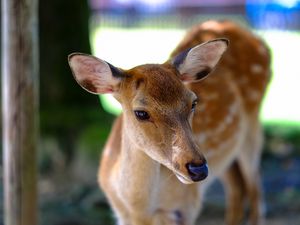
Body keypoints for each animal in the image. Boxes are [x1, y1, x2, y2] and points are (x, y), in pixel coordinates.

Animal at [68, 20, 272, 224]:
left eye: (193, 102)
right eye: (140, 113)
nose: (198, 169)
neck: (139, 209)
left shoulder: (187, 206)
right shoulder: (121, 214)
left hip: (253, 124)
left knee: (255, 188)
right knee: (238, 187)